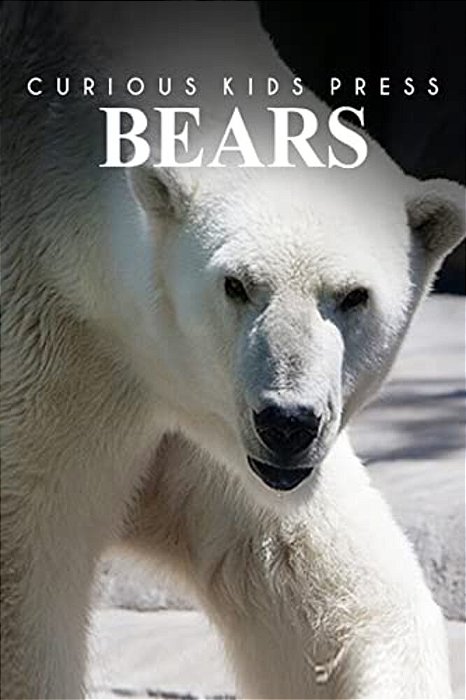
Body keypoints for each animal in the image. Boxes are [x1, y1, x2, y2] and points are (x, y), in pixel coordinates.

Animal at [1, 2, 464, 699]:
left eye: (353, 295)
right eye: (237, 284)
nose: (288, 423)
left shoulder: (209, 420)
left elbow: (329, 589)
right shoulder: (54, 359)